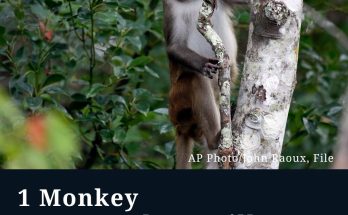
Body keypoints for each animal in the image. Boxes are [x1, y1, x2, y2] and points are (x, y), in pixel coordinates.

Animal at [162, 0, 237, 169]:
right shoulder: (169, 5)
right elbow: (174, 46)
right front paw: (203, 64)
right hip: (177, 100)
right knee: (195, 79)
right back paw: (215, 140)